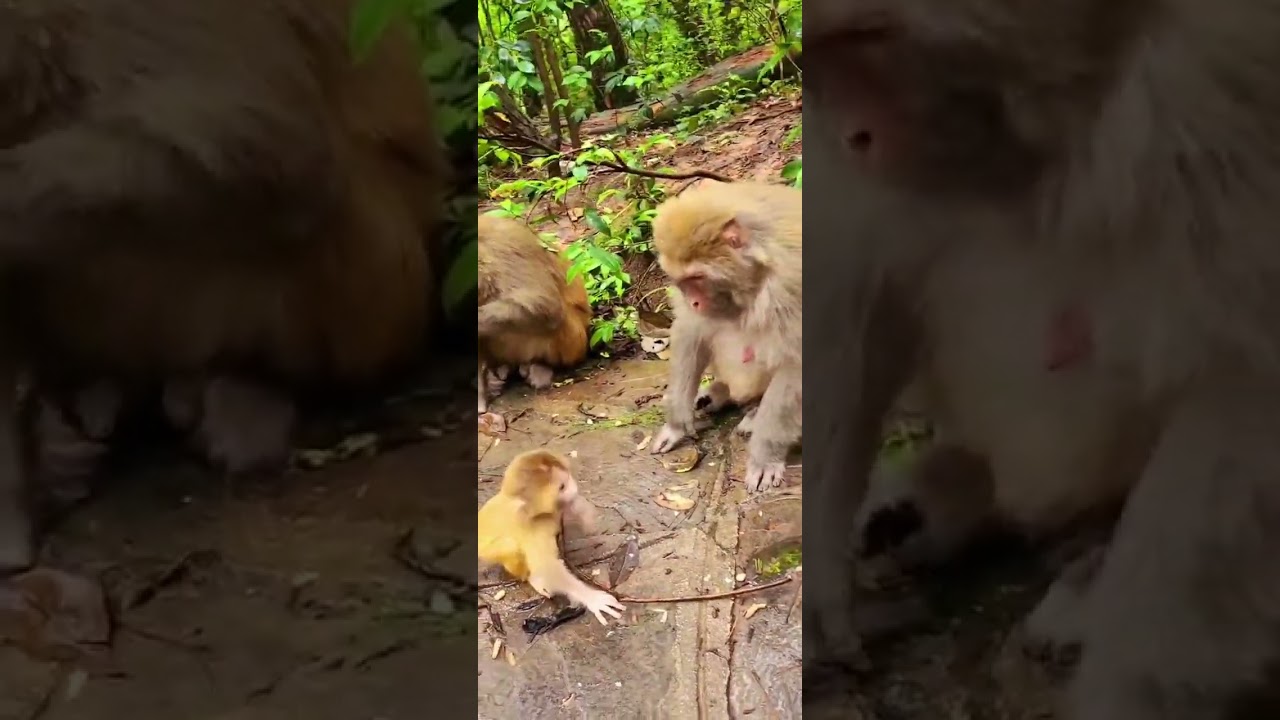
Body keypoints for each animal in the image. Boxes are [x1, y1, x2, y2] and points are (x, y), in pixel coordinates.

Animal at [477, 449, 625, 625]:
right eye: (562, 486)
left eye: (567, 476)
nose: (574, 488)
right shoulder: (535, 528)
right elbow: (549, 569)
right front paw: (593, 598)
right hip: (487, 551)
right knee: (509, 547)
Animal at [647, 181, 802, 493]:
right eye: (682, 282)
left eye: (697, 278)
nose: (694, 301)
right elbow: (690, 330)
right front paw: (677, 422)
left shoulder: (794, 284)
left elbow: (796, 364)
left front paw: (765, 457)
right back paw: (717, 394)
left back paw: (753, 414)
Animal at [801, 2, 1280, 718]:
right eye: (823, 50)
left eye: (871, 35)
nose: (852, 136)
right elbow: (851, 274)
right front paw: (818, 572)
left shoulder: (1234, 88)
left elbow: (1243, 397)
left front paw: (1123, 692)